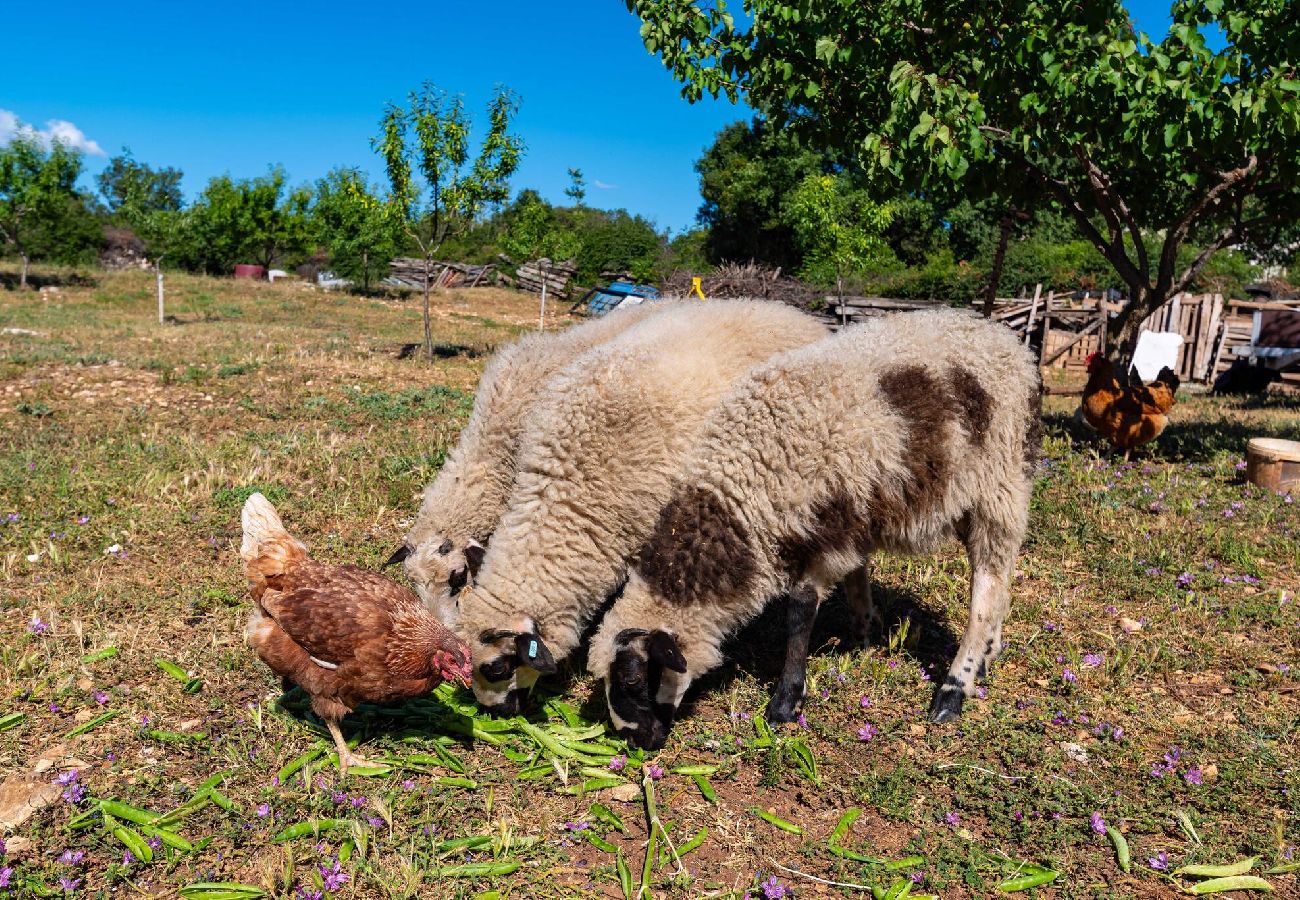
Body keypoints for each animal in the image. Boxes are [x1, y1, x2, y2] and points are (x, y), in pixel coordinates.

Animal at [590, 305, 1045, 749]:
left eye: (633, 678)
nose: (634, 741)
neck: (741, 490)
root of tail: (1006, 339)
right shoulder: (853, 518)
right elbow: (856, 579)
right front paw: (864, 636)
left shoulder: (826, 530)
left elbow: (800, 612)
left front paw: (786, 702)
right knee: (1001, 580)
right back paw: (988, 655)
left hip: (1001, 483)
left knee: (986, 587)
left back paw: (954, 688)